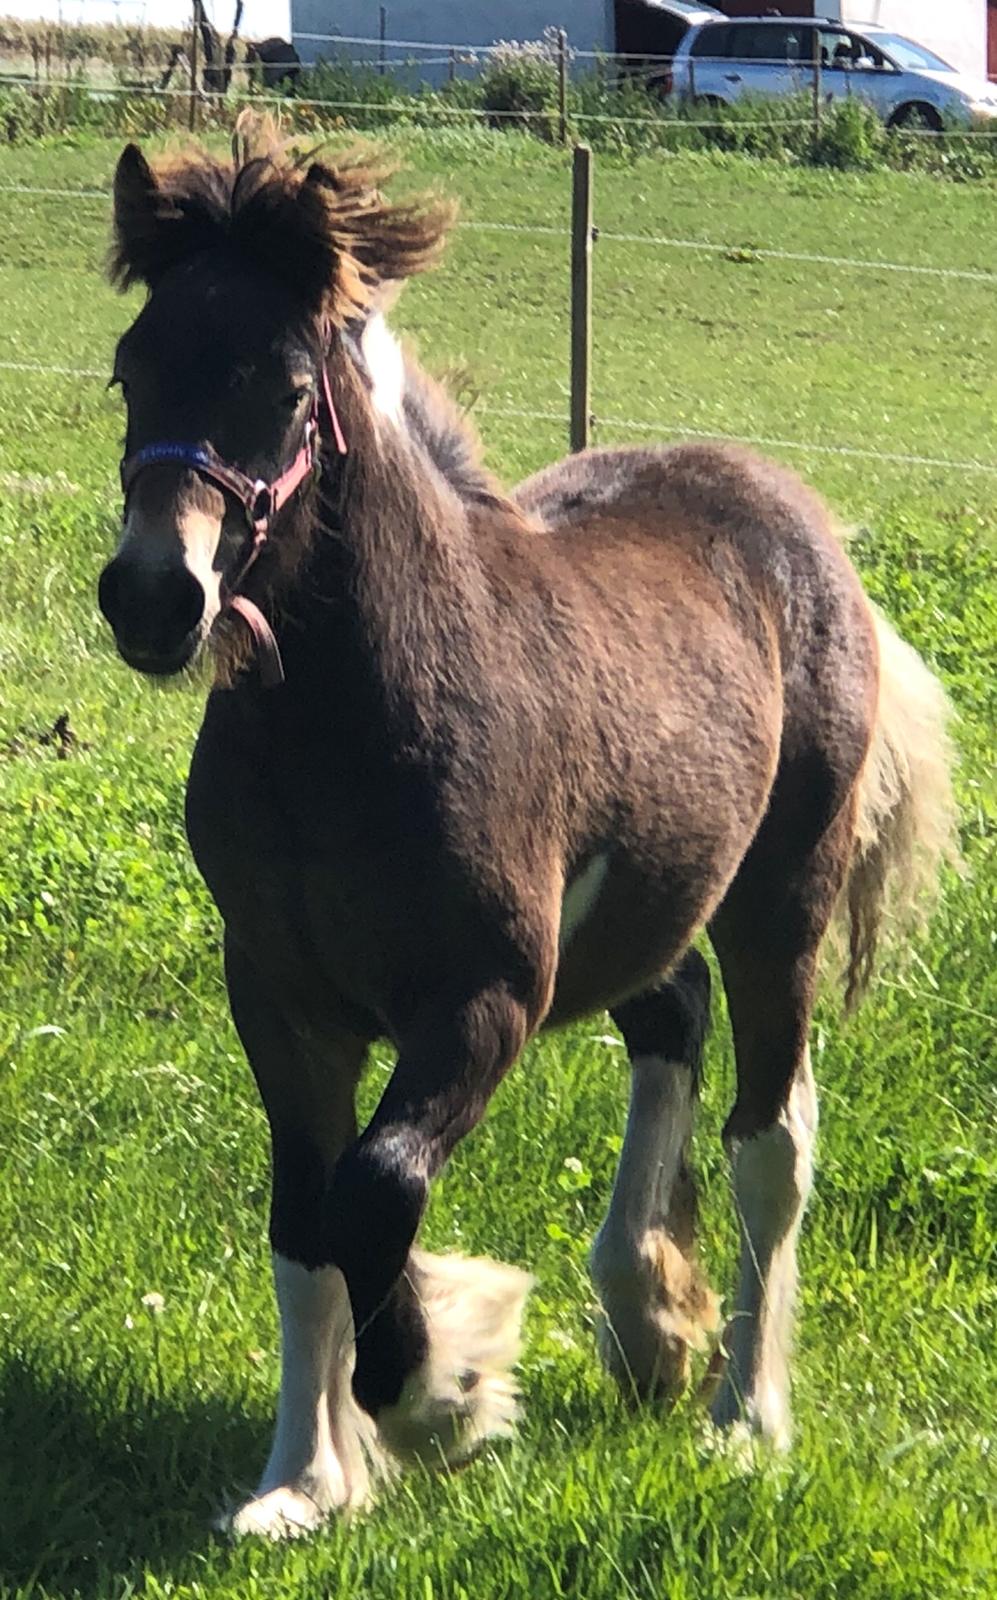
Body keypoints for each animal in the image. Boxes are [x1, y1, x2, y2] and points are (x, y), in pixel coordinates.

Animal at [95, 121, 960, 1536]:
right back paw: (648, 1319)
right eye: (133, 366)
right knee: (672, 1023)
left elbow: (377, 1188)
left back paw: (743, 1415)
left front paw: (440, 1392)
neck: (354, 723)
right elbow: (304, 1223)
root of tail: (796, 518)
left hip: (781, 897)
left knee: (771, 1139)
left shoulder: (486, 997)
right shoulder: (277, 996)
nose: (154, 598)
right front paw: (303, 1479)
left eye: (283, 385)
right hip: (647, 897)